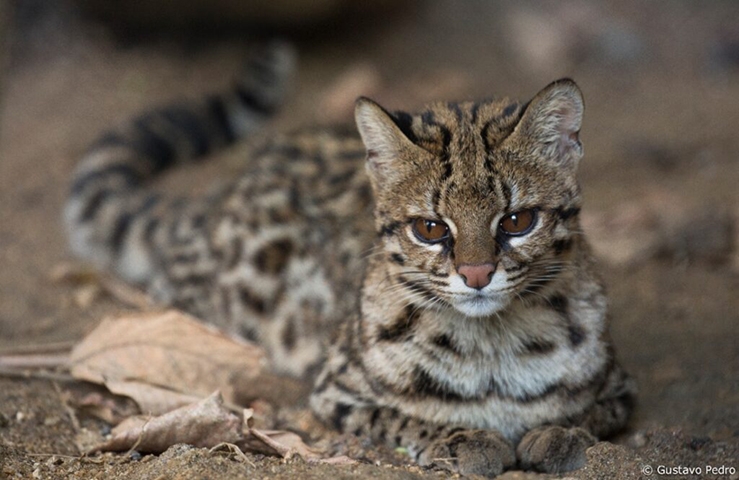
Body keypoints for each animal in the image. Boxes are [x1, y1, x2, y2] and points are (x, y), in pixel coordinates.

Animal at [63, 42, 636, 476]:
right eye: (431, 229)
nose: (476, 274)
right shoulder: (336, 390)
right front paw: (463, 438)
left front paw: (560, 432)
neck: (492, 344)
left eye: (517, 221)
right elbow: (403, 418)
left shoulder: (620, 386)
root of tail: (222, 195)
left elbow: (594, 413)